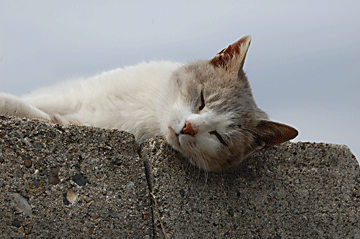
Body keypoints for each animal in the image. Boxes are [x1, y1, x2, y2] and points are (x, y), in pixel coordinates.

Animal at [0, 35, 298, 172]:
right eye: (202, 100)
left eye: (219, 137)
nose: (189, 127)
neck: (149, 109)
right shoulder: (77, 94)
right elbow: (37, 101)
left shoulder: (78, 120)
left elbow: (32, 110)